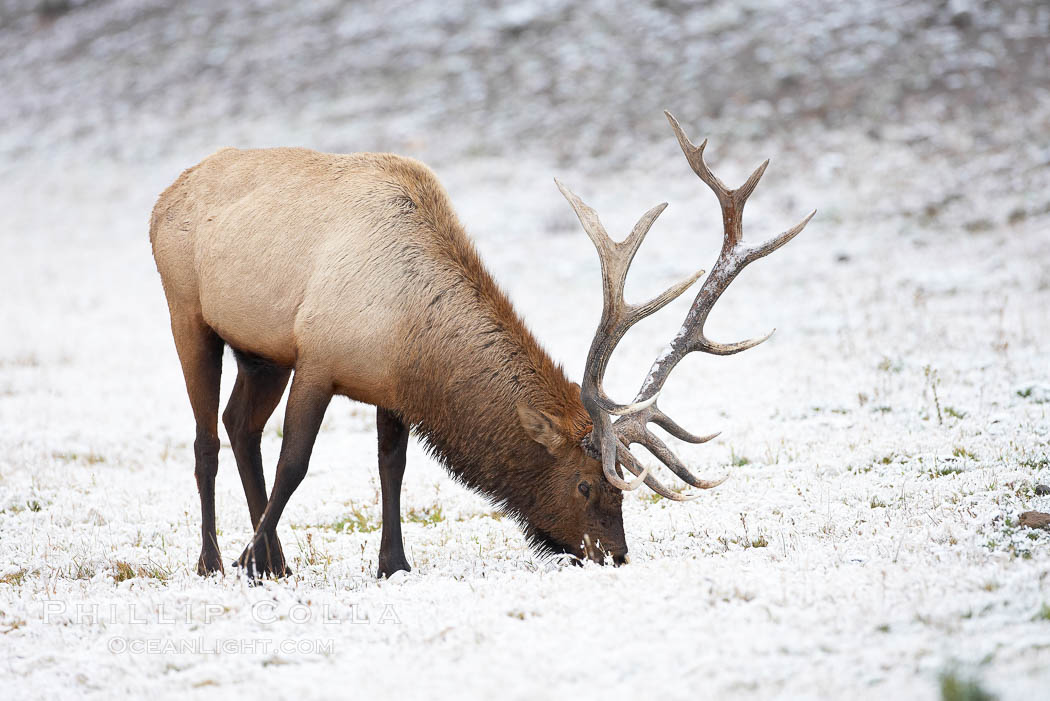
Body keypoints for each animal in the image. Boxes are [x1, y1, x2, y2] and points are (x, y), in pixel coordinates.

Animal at [149, 111, 814, 578]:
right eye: (586, 484)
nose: (615, 554)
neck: (409, 335)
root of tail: (163, 196)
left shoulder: (389, 389)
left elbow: (392, 468)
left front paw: (393, 563)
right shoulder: (317, 360)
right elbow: (296, 464)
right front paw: (246, 559)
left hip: (260, 353)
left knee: (239, 425)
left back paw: (276, 563)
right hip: (187, 313)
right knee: (207, 438)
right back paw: (216, 561)